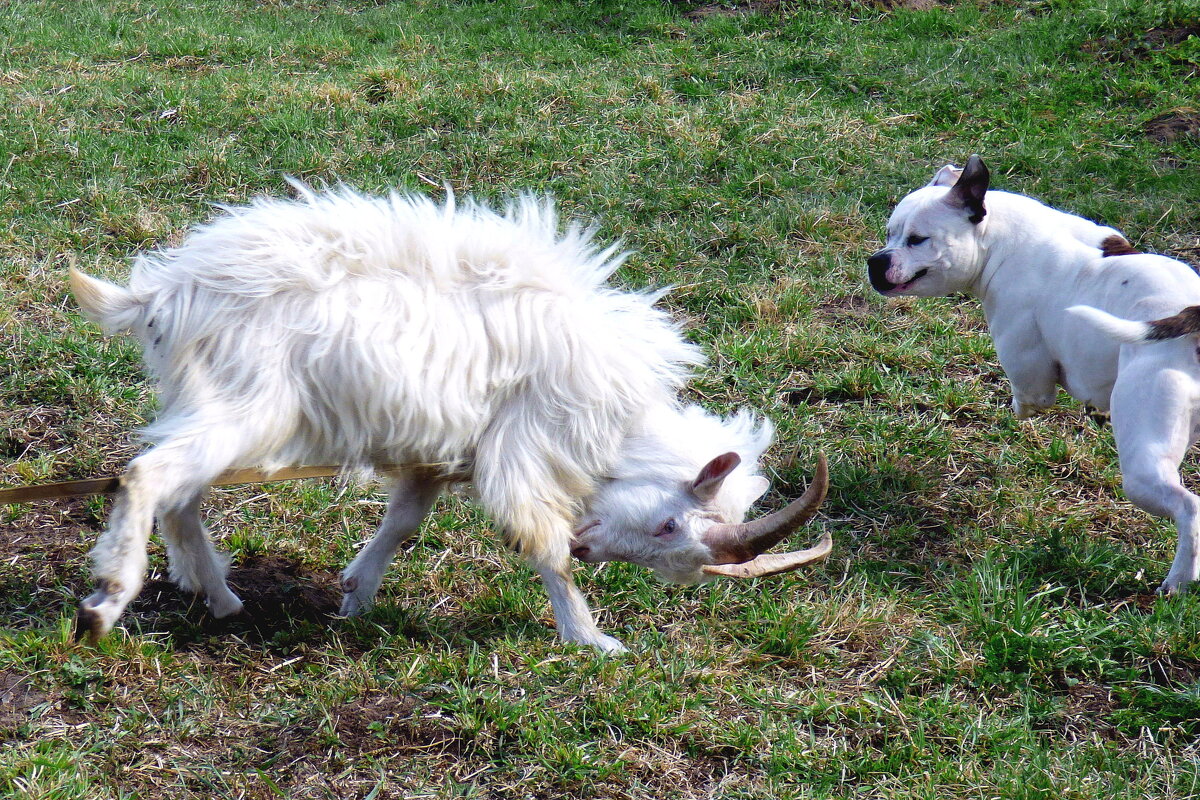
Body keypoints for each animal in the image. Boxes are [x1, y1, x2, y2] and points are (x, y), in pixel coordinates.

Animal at [70, 188, 830, 652]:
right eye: (669, 524)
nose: (593, 549)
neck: (619, 419)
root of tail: (165, 292)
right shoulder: (524, 448)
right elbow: (541, 543)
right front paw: (590, 640)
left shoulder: (439, 452)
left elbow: (405, 520)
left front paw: (355, 594)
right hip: (246, 406)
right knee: (148, 475)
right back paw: (107, 601)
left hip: (215, 406)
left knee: (181, 493)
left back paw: (219, 595)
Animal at [873, 154, 1200, 594]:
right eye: (890, 234)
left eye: (917, 240)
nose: (876, 260)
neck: (998, 236)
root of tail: (1192, 315)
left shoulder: (1031, 377)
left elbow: (1027, 398)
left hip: (1142, 463)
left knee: (1188, 507)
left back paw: (1178, 581)